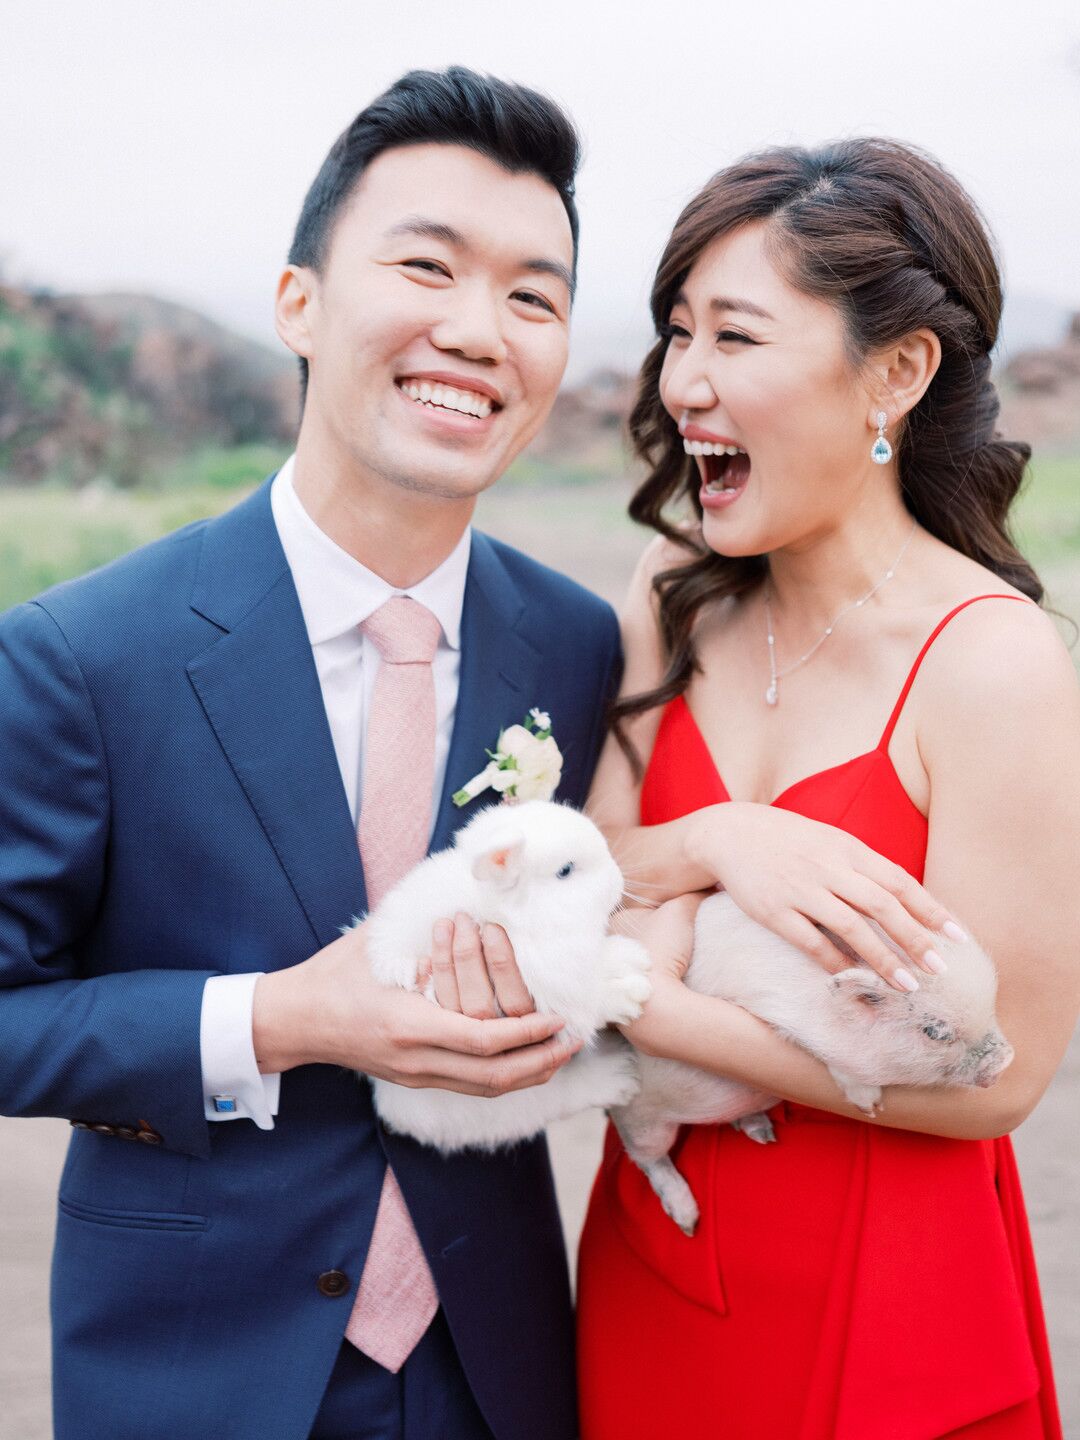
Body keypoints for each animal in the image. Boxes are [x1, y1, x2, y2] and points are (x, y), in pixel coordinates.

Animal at [364, 800, 650, 1146]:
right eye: (565, 870)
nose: (617, 879)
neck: (502, 914)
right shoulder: (559, 985)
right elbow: (588, 999)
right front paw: (631, 992)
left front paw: (631, 959)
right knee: (563, 1096)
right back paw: (621, 1078)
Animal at [616, 887, 1013, 1238]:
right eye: (935, 1032)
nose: (1004, 1062)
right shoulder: (772, 1010)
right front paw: (870, 1105)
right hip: (641, 1122)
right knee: (647, 1158)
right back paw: (688, 1223)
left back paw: (764, 1136)